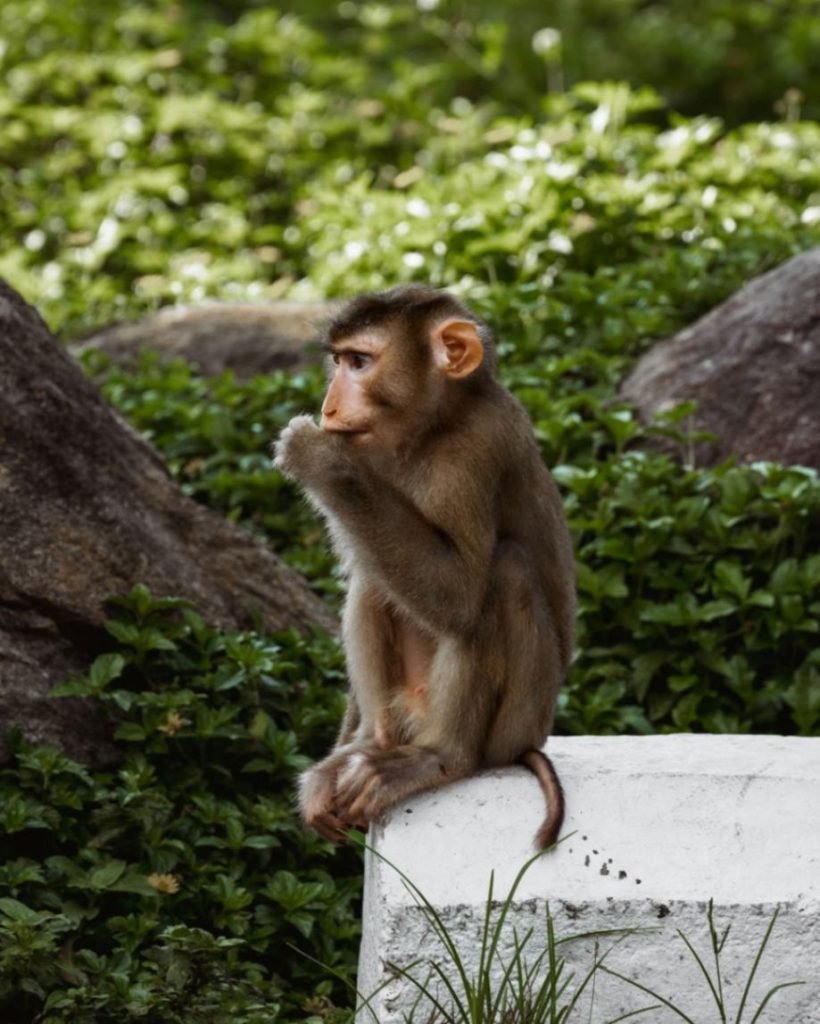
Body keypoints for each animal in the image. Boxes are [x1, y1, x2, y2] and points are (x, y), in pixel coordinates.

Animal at [272, 282, 573, 847]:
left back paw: (442, 758)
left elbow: (457, 595)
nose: (329, 408)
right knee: (375, 578)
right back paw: (365, 745)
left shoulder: (471, 453)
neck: (433, 427)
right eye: (338, 361)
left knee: (502, 574)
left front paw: (323, 459)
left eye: (360, 362)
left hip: (516, 723)